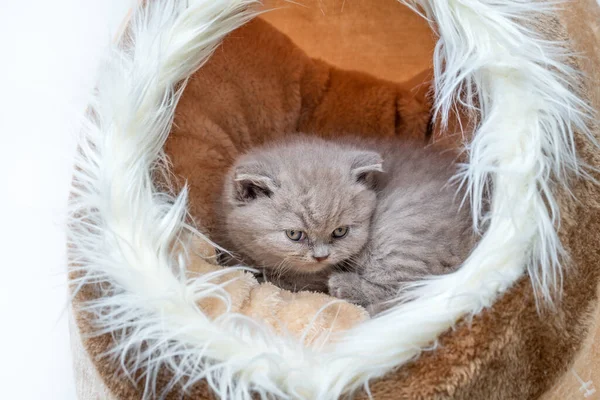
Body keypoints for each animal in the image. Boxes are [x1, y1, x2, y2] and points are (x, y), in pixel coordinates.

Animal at [216, 134, 478, 312]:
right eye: (295, 234)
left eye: (340, 232)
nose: (321, 257)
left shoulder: (310, 277)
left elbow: (285, 280)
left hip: (402, 229)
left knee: (406, 289)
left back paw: (345, 285)